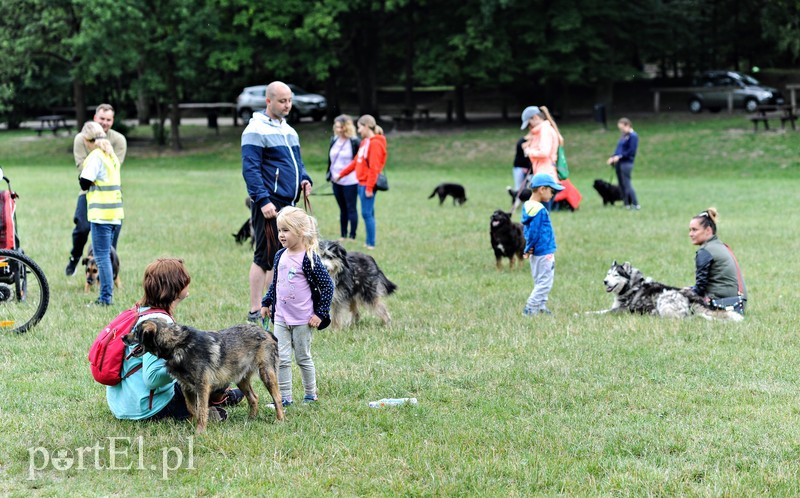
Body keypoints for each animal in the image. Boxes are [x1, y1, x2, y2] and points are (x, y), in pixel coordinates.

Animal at [592, 260, 744, 322]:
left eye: (616, 275)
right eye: (608, 274)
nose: (605, 281)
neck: (633, 286)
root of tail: (691, 297)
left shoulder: (619, 310)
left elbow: (597, 312)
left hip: (663, 298)